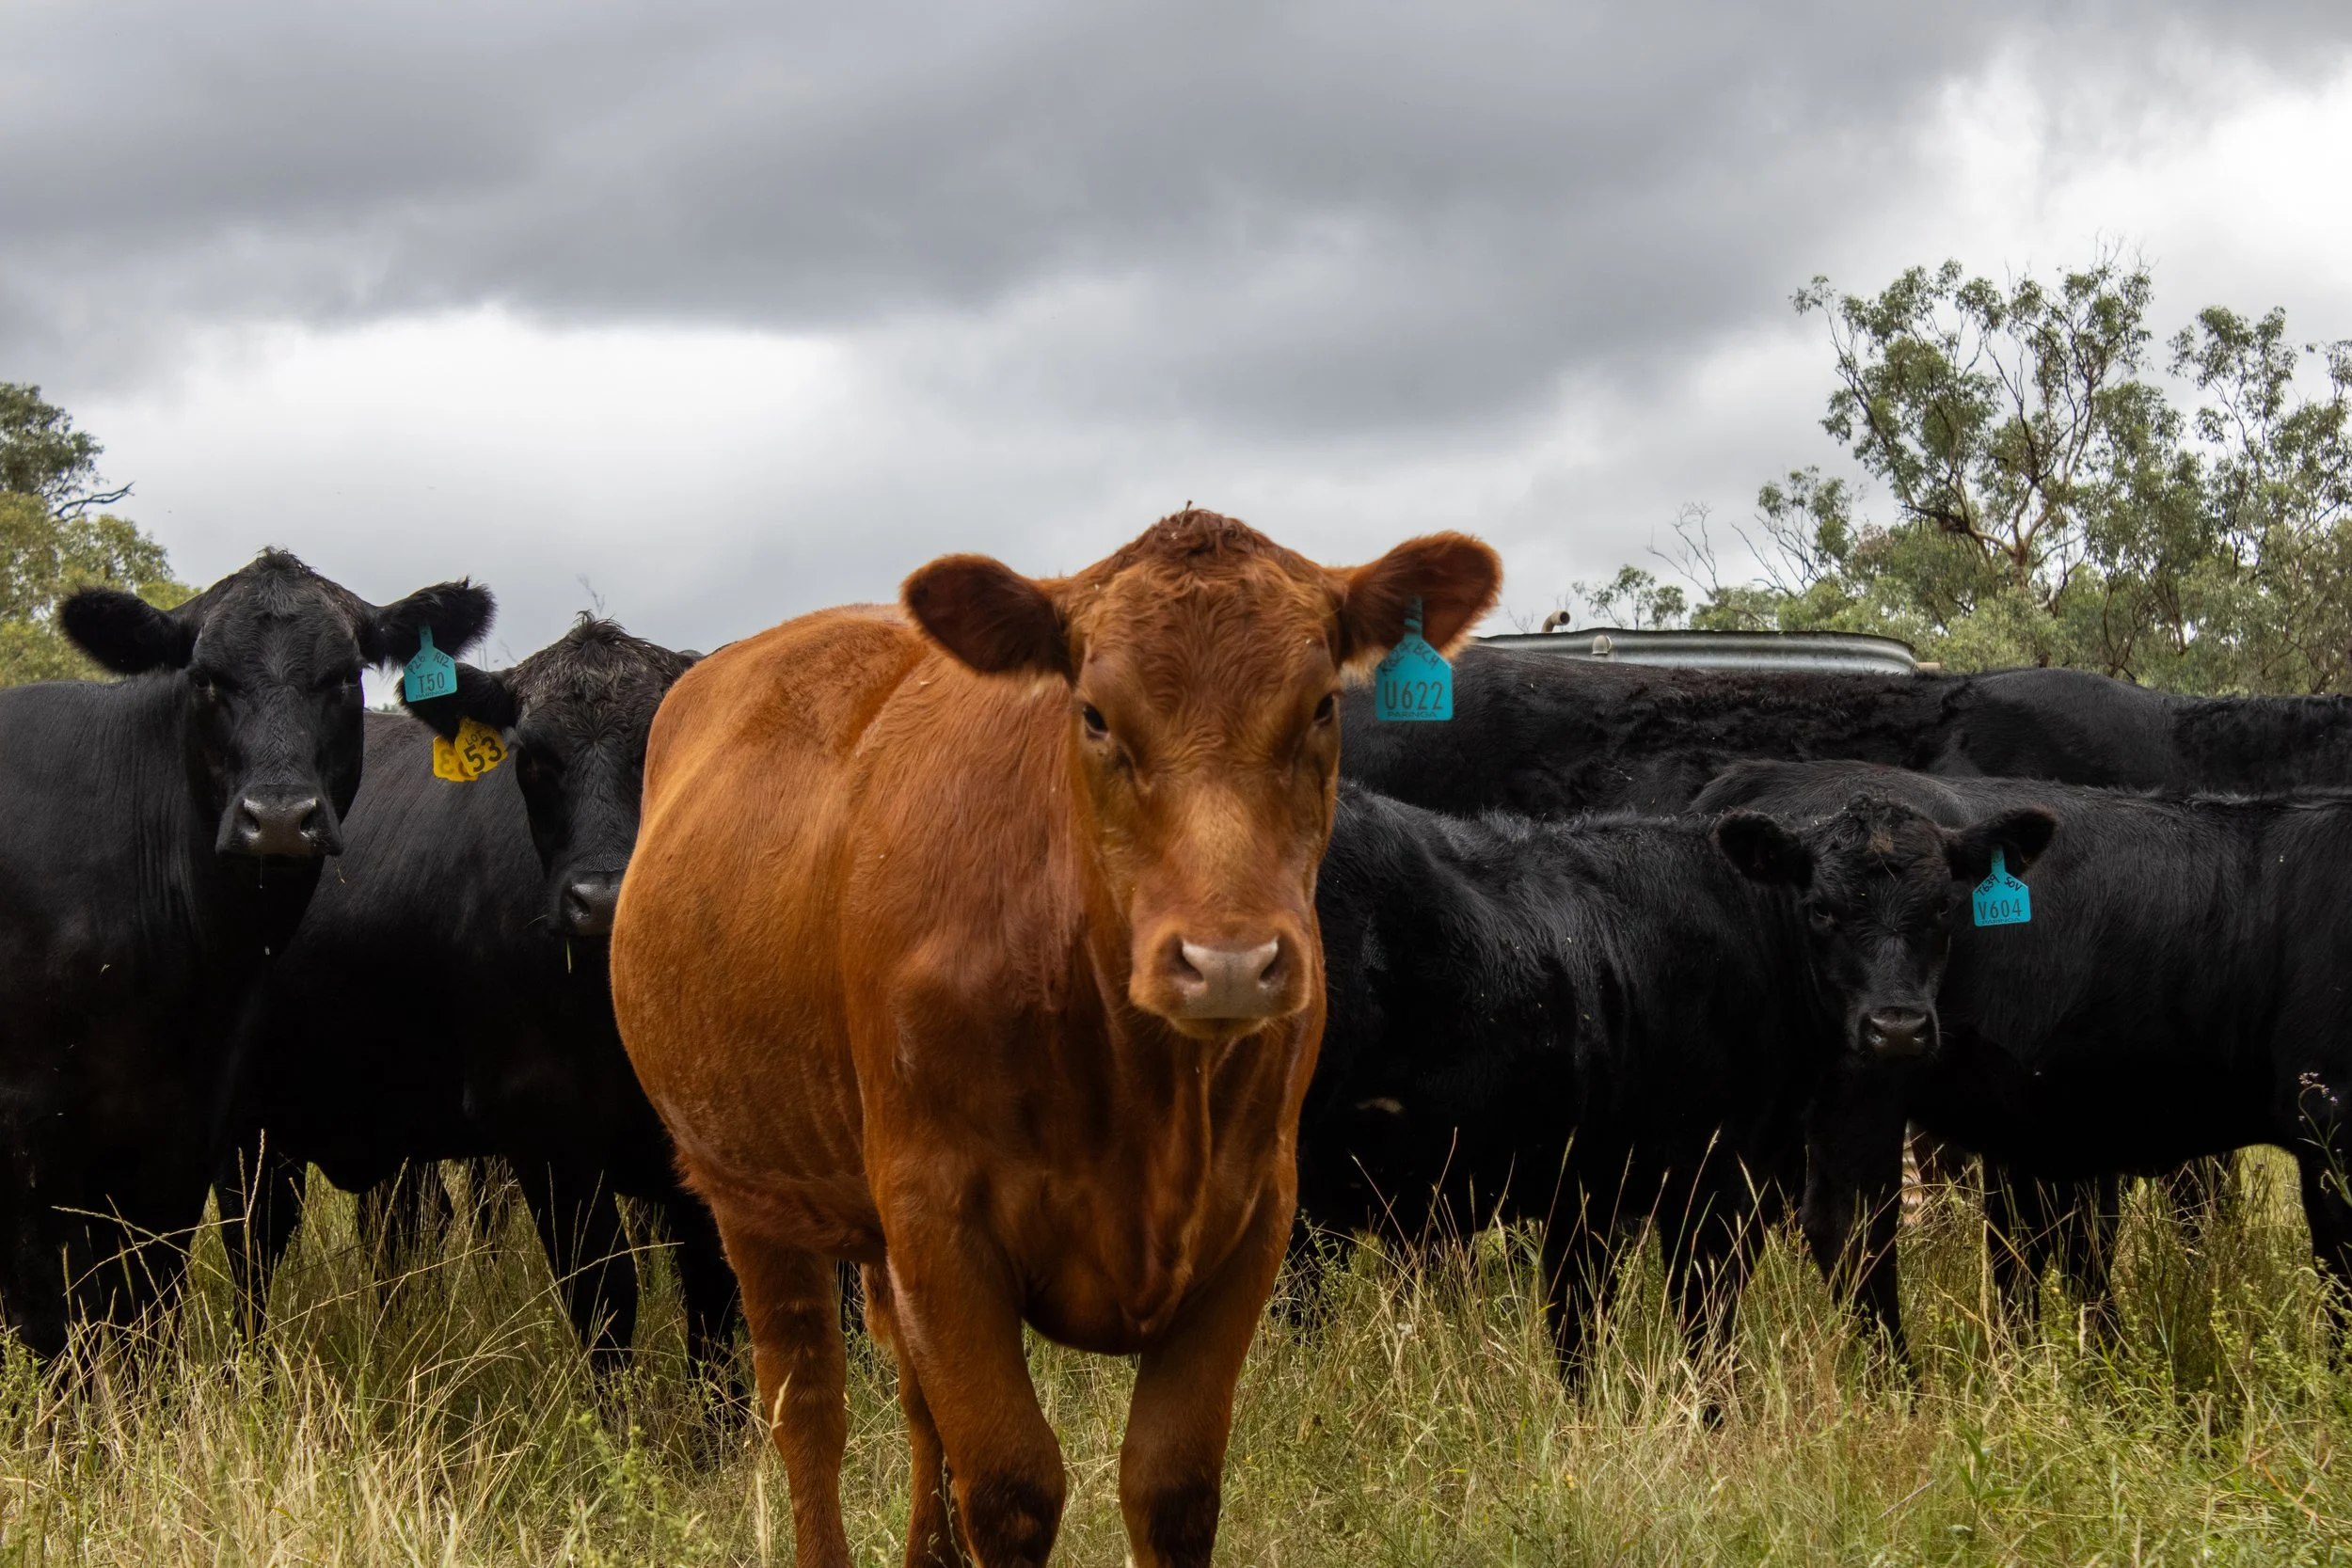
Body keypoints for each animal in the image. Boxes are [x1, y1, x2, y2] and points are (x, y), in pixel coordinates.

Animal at [0, 551, 492, 1357]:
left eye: (344, 675)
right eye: (205, 677)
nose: (281, 817)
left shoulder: (176, 1149)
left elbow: (144, 1323)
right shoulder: (32, 1157)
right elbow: (61, 1332)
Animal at [214, 617, 737, 1375]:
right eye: (532, 759)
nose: (604, 900)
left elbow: (716, 1322)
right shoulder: (545, 1136)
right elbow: (606, 1301)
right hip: (248, 1135)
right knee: (255, 1248)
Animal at [610, 510, 1501, 1568]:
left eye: (1323, 705)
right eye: (1095, 715)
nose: (1228, 959)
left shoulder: (1255, 1212)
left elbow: (1171, 1483)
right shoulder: (936, 1210)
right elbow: (1010, 1483)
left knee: (916, 1406)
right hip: (748, 1186)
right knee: (809, 1407)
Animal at [1299, 780, 2055, 1376]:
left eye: (1944, 908)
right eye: (1821, 909)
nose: (1896, 1027)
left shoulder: (1591, 1191)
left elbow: (1578, 1332)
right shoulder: (1709, 1185)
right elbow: (1706, 1332)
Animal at [1694, 757, 2352, 1352]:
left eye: (1945, 905)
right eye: (1823, 909)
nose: (1898, 1025)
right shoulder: (2330, 1123)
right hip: (1861, 1091)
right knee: (1849, 1228)